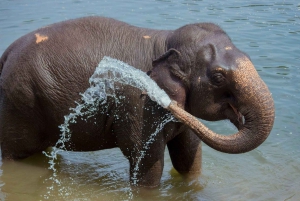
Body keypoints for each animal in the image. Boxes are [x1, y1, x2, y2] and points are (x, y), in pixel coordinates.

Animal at [0, 16, 274, 188]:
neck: (164, 39)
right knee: (13, 154)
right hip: (19, 104)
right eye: (218, 77)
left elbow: (188, 157)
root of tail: (5, 55)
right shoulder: (136, 106)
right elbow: (147, 166)